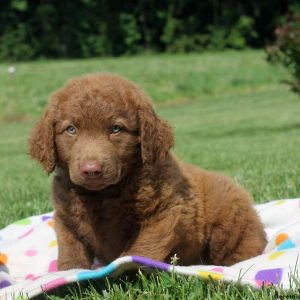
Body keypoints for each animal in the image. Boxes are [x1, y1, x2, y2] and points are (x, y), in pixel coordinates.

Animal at [28, 74, 268, 270]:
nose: (91, 169)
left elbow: (140, 250)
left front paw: (124, 270)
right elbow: (71, 250)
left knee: (242, 248)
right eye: (71, 129)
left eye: (116, 129)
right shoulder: (65, 217)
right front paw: (69, 272)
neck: (103, 195)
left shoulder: (165, 212)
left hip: (229, 227)